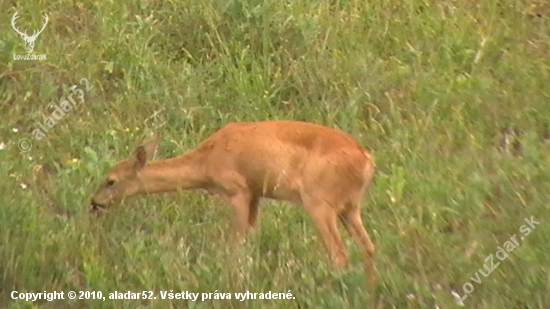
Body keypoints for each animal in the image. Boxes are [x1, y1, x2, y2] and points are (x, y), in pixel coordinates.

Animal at [92, 119, 382, 282]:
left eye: (110, 180)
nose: (94, 203)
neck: (206, 162)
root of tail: (367, 159)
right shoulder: (255, 195)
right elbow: (250, 243)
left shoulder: (238, 190)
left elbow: (237, 247)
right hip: (350, 206)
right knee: (368, 248)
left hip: (319, 201)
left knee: (340, 253)